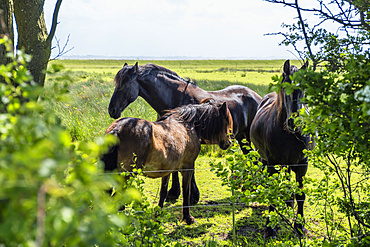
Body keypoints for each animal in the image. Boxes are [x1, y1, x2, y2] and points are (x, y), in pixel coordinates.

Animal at [101, 99, 233, 225]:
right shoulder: (188, 167)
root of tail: (117, 129)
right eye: (226, 121)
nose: (229, 143)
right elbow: (186, 192)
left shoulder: (167, 170)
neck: (187, 125)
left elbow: (163, 192)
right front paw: (188, 218)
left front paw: (158, 216)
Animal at [249, 59, 312, 237]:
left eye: (303, 88)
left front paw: (300, 226)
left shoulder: (302, 164)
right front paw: (270, 228)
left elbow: (300, 194)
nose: (294, 122)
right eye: (285, 87)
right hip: (265, 160)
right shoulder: (272, 164)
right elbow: (272, 192)